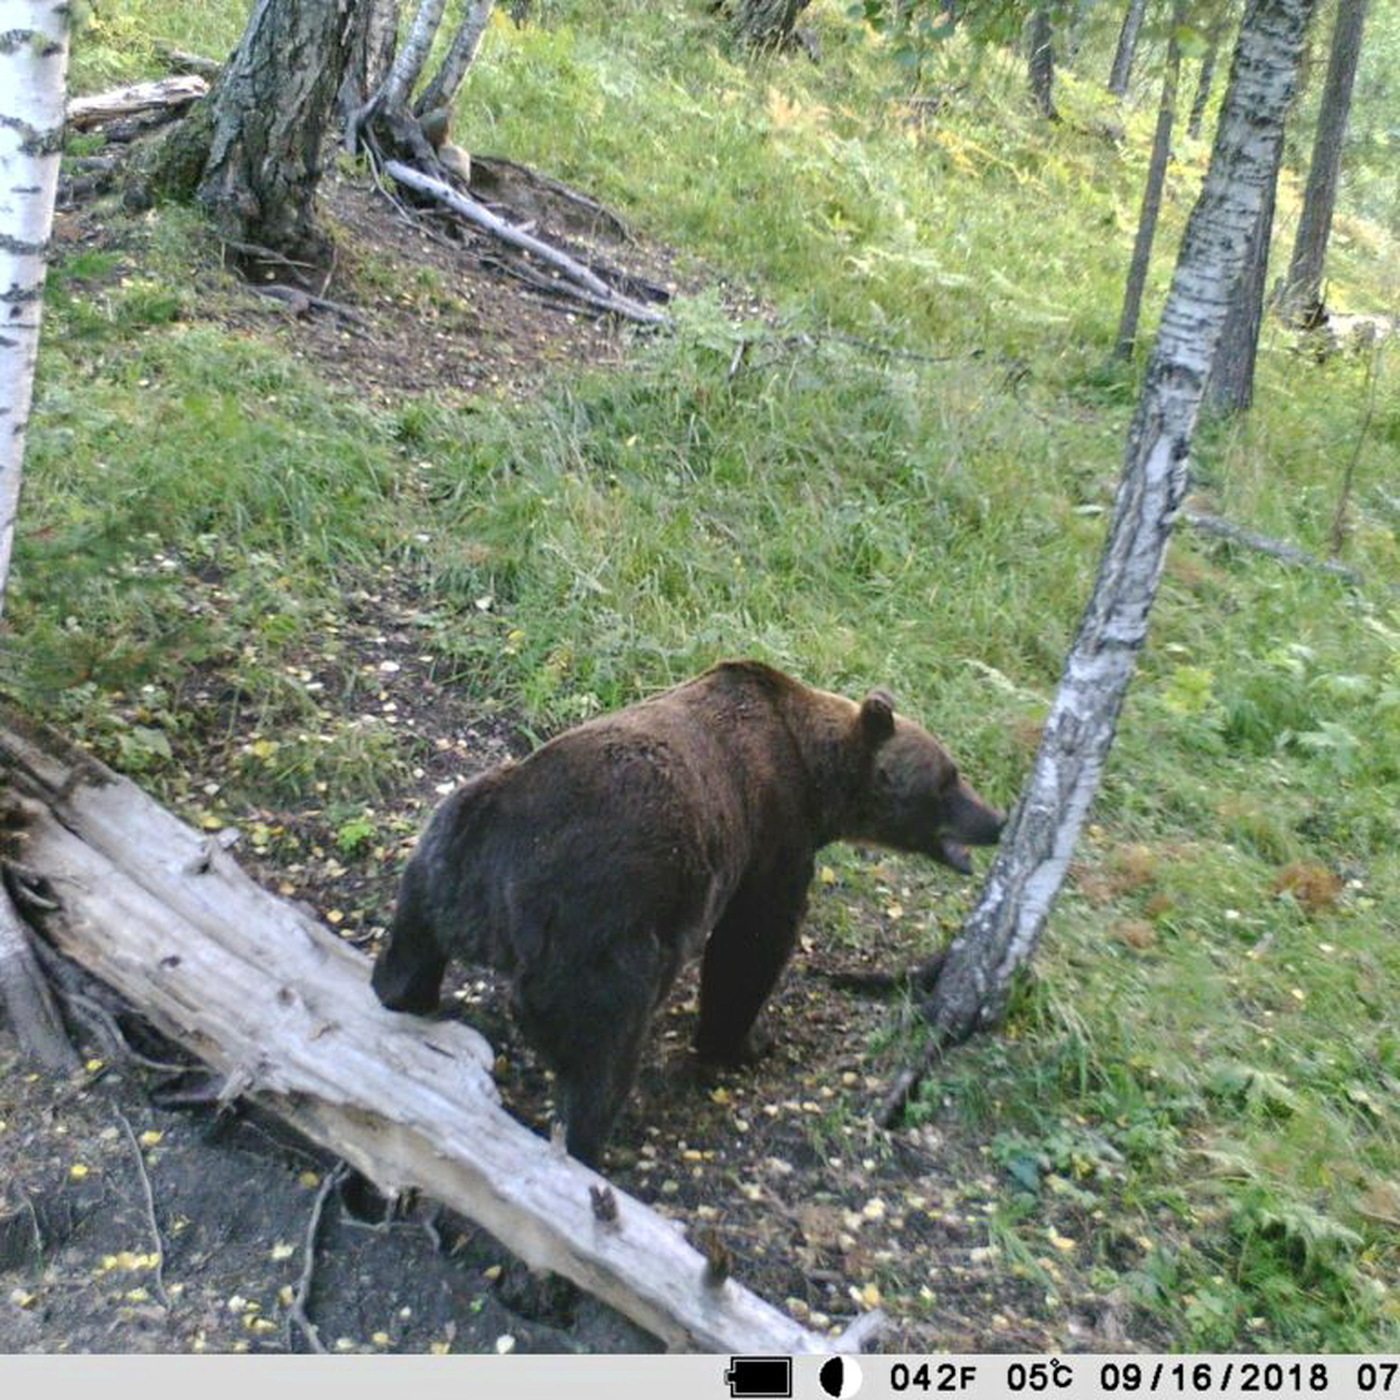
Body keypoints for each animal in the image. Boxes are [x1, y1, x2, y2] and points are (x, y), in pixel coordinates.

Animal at [372, 660, 1008, 1164]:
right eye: (949, 777)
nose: (997, 819)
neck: (813, 772)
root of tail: (502, 882)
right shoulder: (773, 832)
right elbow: (751, 946)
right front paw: (748, 1043)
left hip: (444, 854)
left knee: (408, 950)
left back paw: (407, 995)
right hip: (602, 935)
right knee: (602, 1057)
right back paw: (590, 1146)